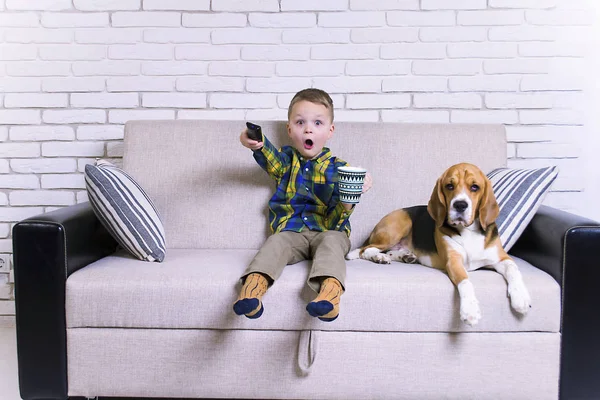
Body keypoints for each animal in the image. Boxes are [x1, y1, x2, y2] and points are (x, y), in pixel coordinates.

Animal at [346, 162, 528, 324]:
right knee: (365, 250)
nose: (460, 205)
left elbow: (514, 269)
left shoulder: (501, 258)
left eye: (475, 187)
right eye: (450, 186)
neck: (468, 231)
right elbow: (465, 280)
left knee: (389, 251)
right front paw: (470, 310)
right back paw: (380, 257)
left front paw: (521, 298)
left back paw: (406, 256)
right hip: (399, 226)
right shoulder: (453, 261)